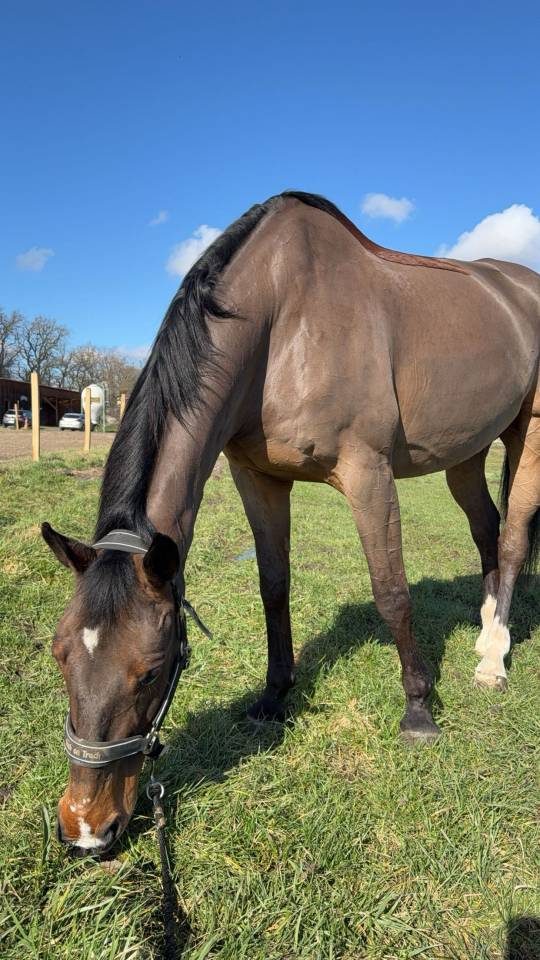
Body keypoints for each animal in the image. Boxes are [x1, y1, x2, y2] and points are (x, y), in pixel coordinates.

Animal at [42, 191, 540, 852]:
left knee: (511, 541)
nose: (86, 829)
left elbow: (392, 592)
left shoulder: (368, 473)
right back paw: (487, 633)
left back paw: (492, 661)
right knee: (486, 531)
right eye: (60, 654)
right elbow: (273, 588)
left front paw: (418, 710)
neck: (283, 320)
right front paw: (273, 697)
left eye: (150, 672)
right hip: (466, 452)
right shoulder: (257, 479)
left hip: (530, 435)